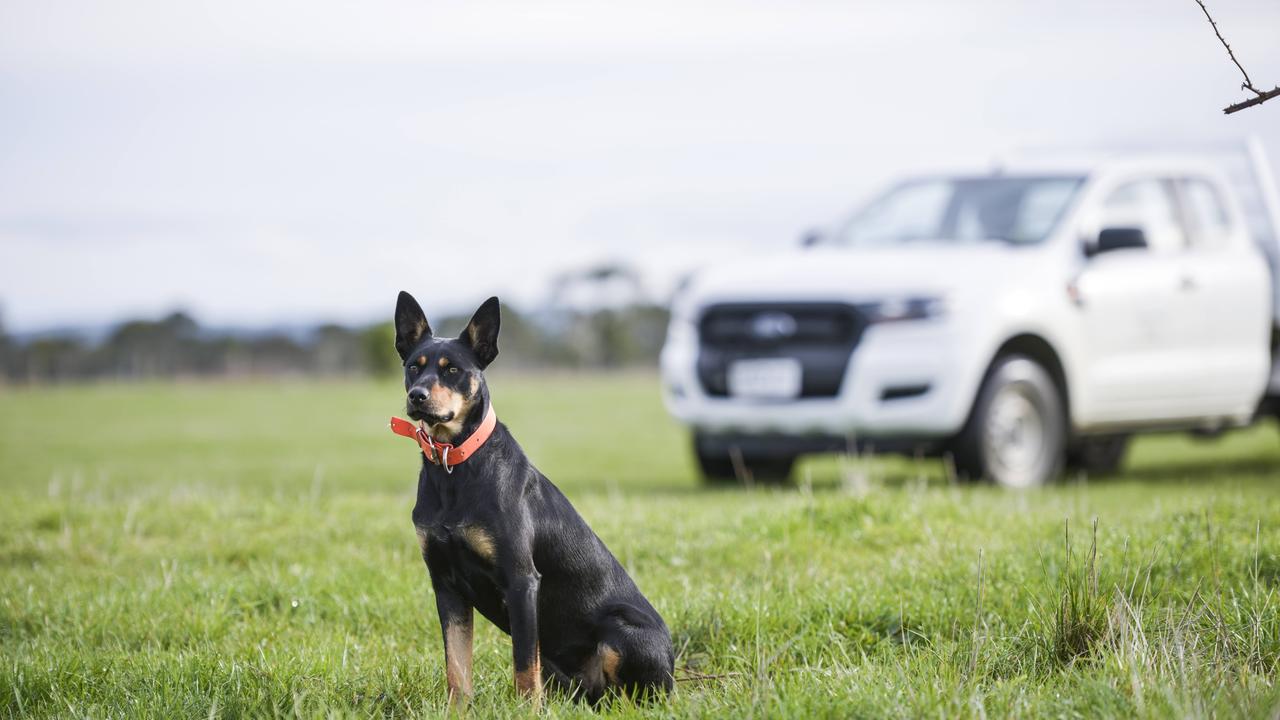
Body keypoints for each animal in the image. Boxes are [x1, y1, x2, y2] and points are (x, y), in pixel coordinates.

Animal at [391, 288, 680, 702]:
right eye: (414, 367)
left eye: (452, 370)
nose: (418, 396)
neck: (453, 466)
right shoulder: (445, 583)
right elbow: (457, 668)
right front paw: (457, 709)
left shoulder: (521, 580)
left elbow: (525, 666)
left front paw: (527, 709)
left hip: (622, 631)